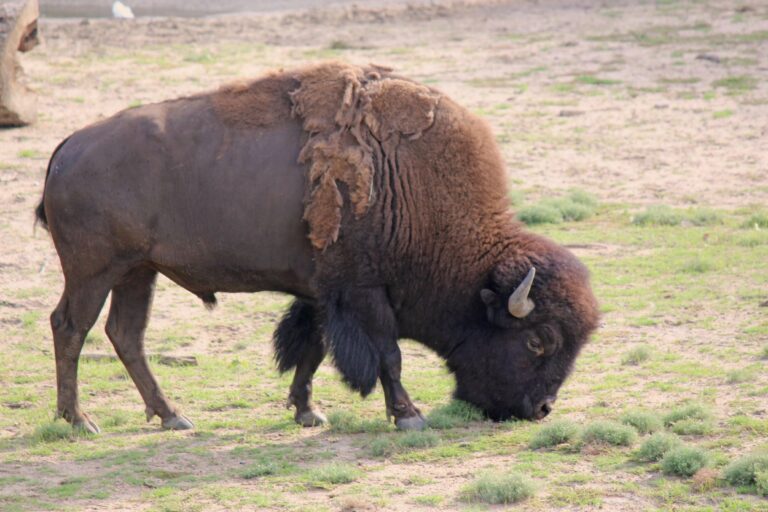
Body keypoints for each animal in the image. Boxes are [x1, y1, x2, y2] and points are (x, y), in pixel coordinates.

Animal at [36, 62, 600, 434]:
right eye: (538, 341)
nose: (541, 409)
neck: (410, 180)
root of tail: (66, 147)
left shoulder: (319, 292)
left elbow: (311, 348)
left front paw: (308, 412)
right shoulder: (365, 292)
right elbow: (388, 354)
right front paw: (409, 417)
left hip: (138, 271)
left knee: (125, 334)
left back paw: (173, 416)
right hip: (93, 272)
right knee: (70, 327)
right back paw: (79, 421)